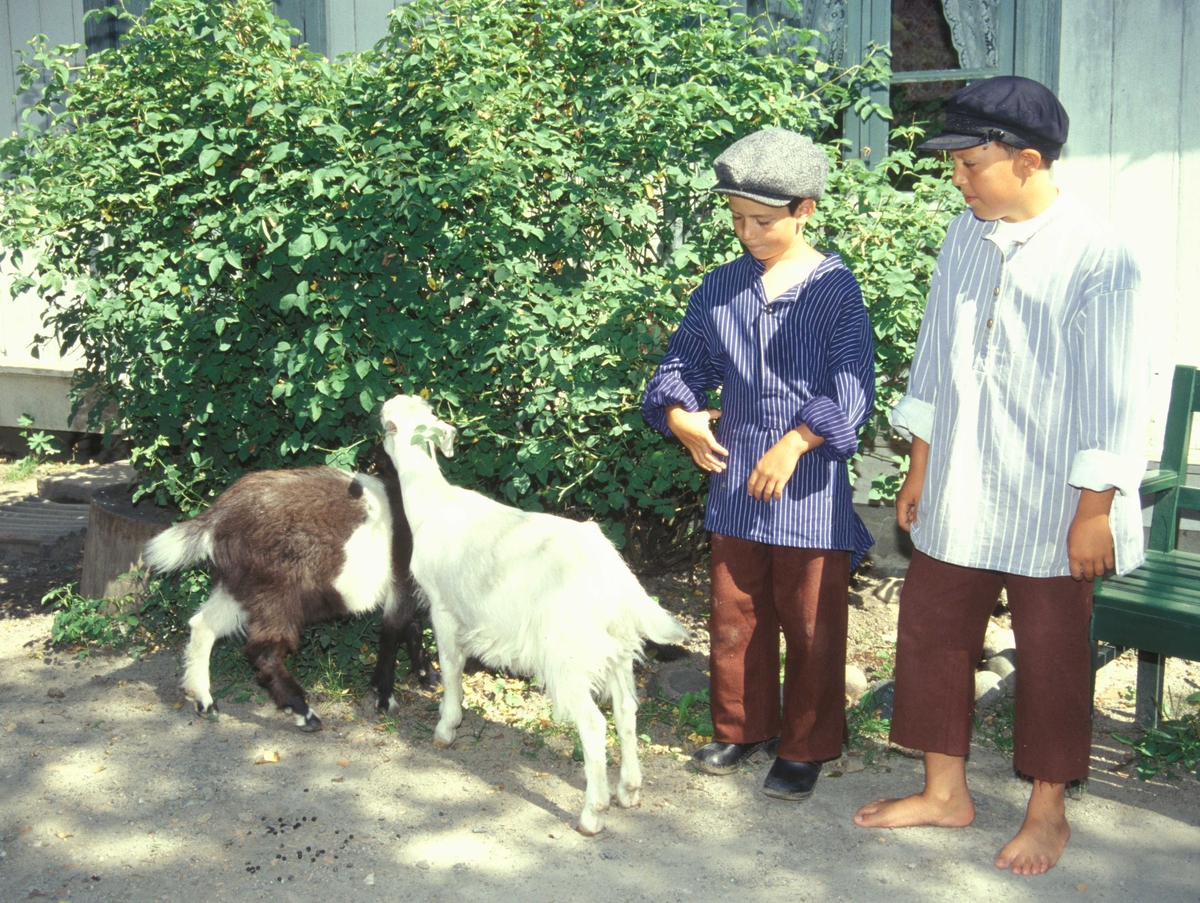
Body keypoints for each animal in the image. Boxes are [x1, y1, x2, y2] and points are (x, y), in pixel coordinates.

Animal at [144, 461, 432, 730]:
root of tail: (218, 517)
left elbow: (412, 627)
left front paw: (426, 676)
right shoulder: (403, 585)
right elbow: (394, 634)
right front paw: (385, 698)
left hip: (240, 589)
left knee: (203, 626)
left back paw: (204, 701)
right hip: (277, 595)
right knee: (263, 652)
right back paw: (305, 714)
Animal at [379, 398, 691, 835]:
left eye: (387, 423)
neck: (433, 504)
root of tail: (613, 574)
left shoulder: (443, 608)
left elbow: (451, 666)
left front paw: (446, 727)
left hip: (569, 652)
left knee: (594, 725)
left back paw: (593, 814)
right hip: (613, 647)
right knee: (626, 710)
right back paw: (629, 790)